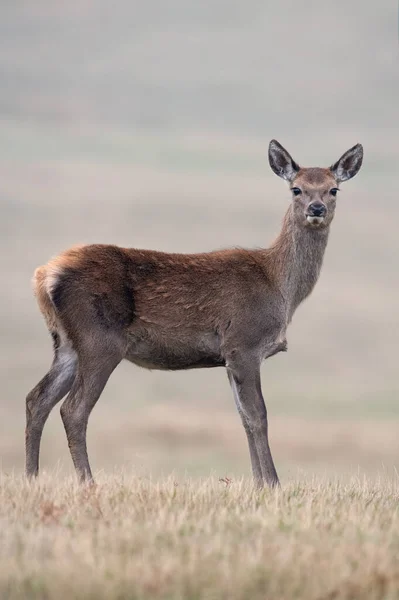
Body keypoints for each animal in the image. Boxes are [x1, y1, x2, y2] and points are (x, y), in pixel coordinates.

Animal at [24, 141, 362, 488]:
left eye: (333, 189)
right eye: (296, 188)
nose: (316, 209)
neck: (280, 287)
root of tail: (45, 275)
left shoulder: (229, 357)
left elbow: (244, 417)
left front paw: (258, 483)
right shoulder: (244, 343)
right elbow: (259, 415)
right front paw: (272, 484)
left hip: (66, 343)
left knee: (37, 399)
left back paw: (32, 477)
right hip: (99, 339)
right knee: (73, 409)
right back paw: (88, 483)